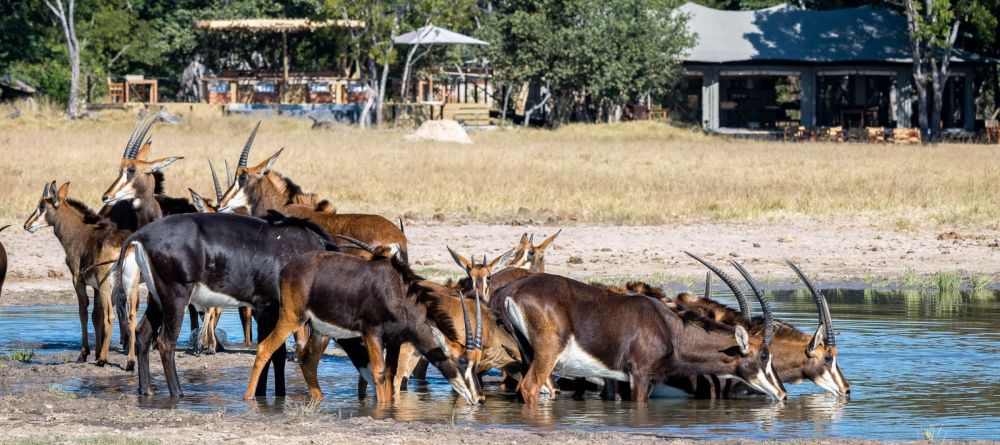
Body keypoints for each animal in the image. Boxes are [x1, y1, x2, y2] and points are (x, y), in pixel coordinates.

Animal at [23, 182, 131, 366]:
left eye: (42, 206)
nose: (26, 225)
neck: (79, 233)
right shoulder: (95, 286)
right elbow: (96, 316)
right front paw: (96, 351)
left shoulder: (77, 279)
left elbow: (83, 312)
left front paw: (84, 354)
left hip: (108, 286)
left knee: (110, 316)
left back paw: (103, 359)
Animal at [112, 212, 334, 396]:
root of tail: (140, 235)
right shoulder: (266, 306)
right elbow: (271, 351)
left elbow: (276, 353)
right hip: (175, 293)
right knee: (165, 341)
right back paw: (177, 393)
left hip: (157, 297)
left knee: (143, 333)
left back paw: (148, 390)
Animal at [241, 236, 476, 406]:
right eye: (462, 361)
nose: (478, 398)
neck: (397, 293)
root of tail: (287, 268)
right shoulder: (371, 332)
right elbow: (379, 372)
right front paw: (382, 408)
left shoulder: (394, 341)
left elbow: (389, 373)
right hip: (292, 317)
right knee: (265, 348)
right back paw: (249, 398)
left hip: (321, 330)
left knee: (308, 359)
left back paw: (319, 398)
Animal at [496, 272, 784, 404]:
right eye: (764, 356)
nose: (782, 394)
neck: (669, 329)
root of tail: (512, 290)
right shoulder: (640, 376)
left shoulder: (620, 380)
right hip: (548, 353)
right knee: (530, 387)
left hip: (527, 353)